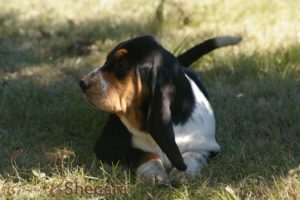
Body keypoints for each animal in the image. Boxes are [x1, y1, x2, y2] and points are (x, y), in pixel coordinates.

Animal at [79, 34, 241, 186]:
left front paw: (182, 174)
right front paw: (155, 175)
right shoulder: (133, 150)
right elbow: (147, 156)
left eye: (122, 64)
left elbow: (192, 156)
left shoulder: (208, 148)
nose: (82, 83)